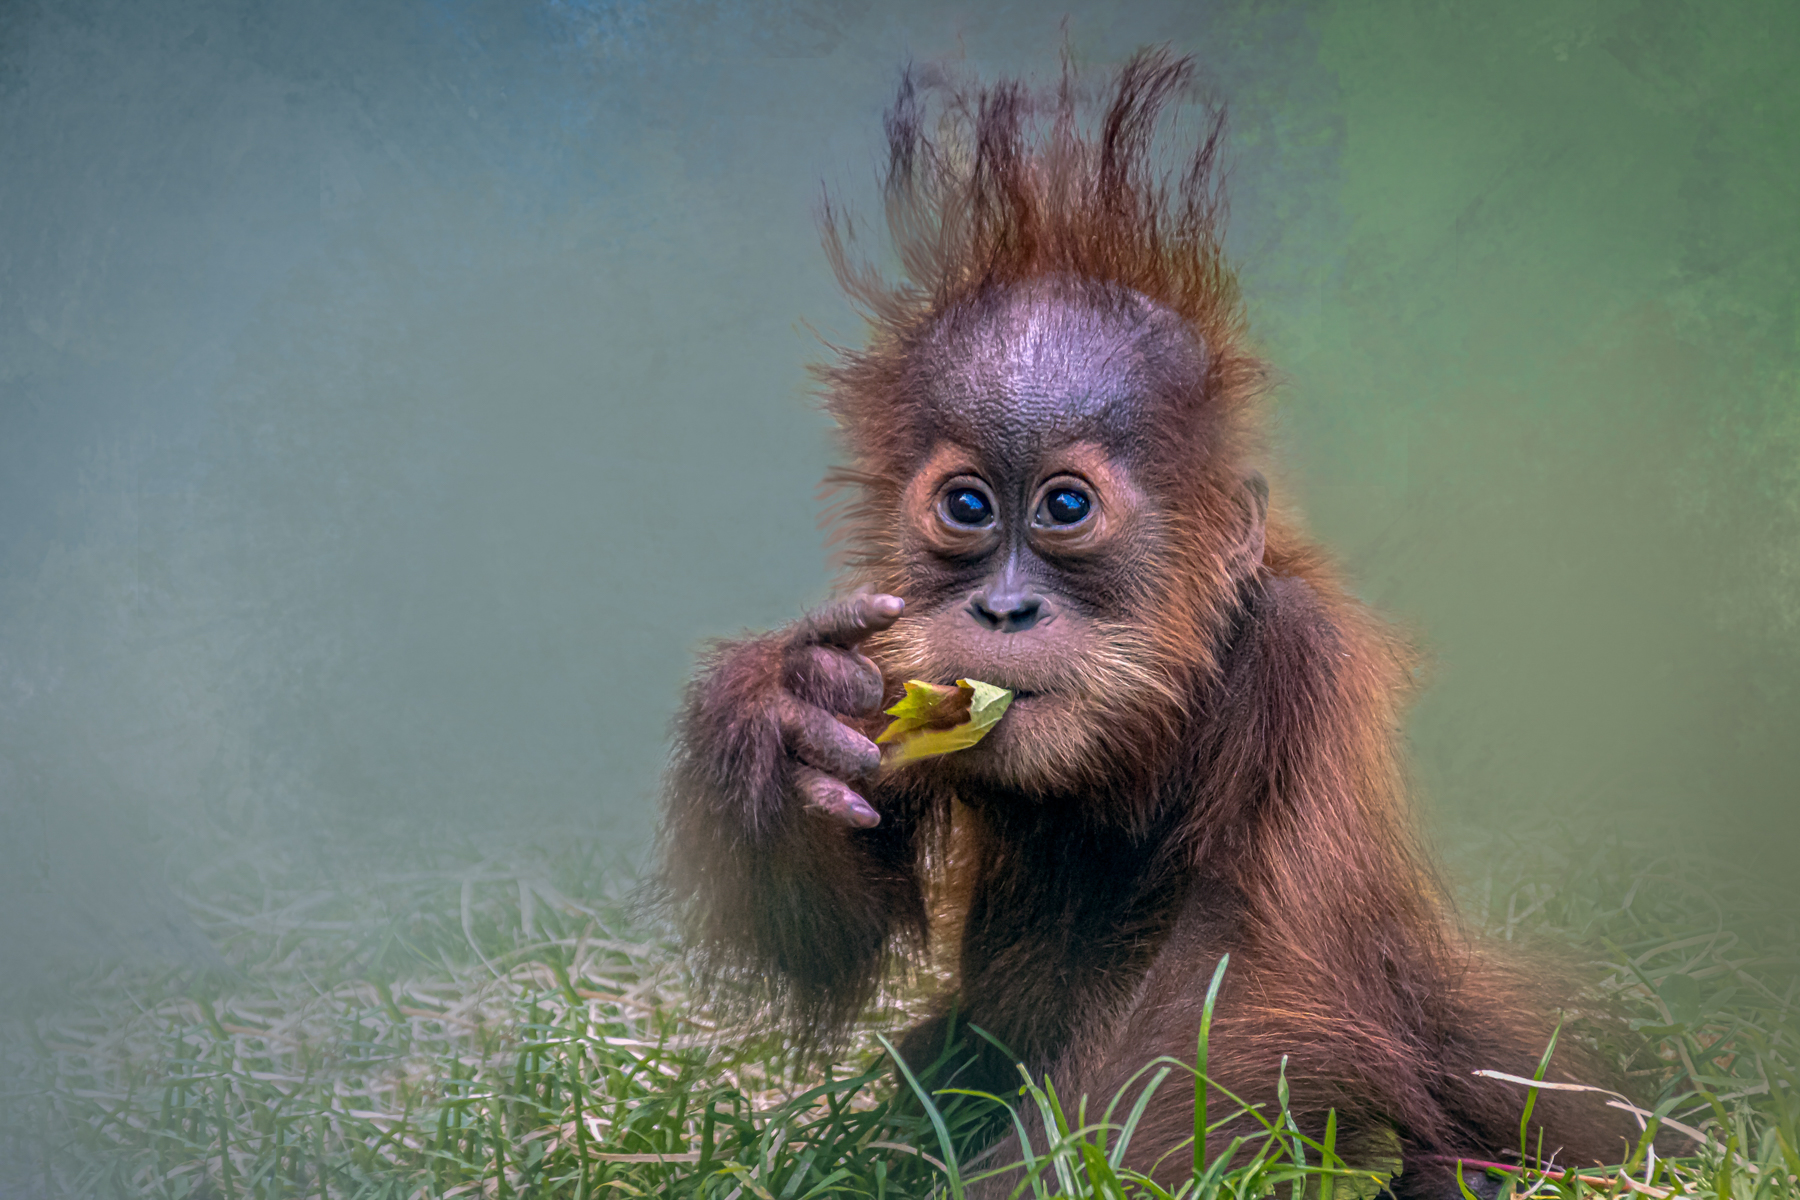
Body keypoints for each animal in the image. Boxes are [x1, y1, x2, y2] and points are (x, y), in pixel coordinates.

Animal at [659, 49, 1652, 1199]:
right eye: (967, 506)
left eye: (1063, 507)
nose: (1002, 607)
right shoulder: (900, 662)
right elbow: (827, 926)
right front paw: (779, 716)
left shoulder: (1296, 661)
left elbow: (1230, 994)